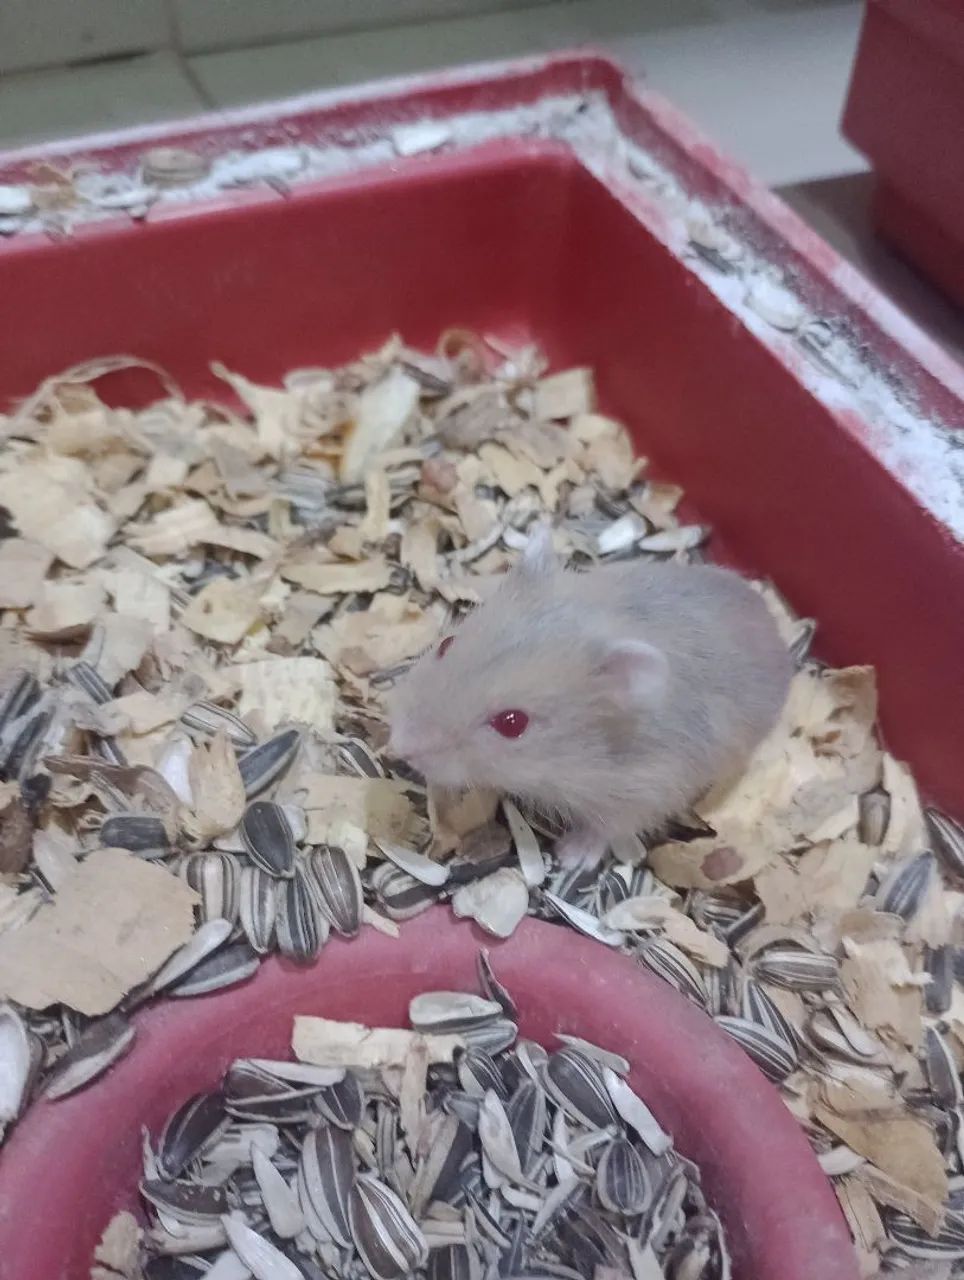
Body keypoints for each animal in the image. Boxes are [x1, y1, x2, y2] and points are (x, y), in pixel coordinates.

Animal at [388, 528, 792, 869]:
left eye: (512, 723)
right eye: (446, 644)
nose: (400, 747)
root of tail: (774, 626)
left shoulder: (644, 793)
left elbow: (605, 828)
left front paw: (570, 857)